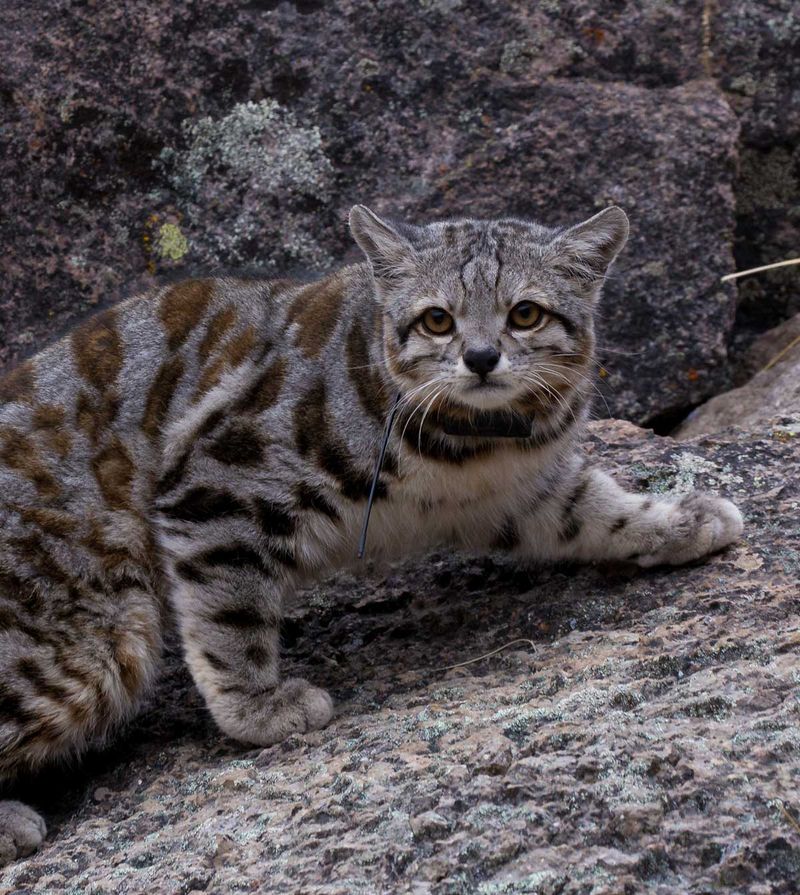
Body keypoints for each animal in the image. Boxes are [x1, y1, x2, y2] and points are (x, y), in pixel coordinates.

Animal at [0, 205, 744, 868]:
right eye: (437, 318)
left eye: (526, 313)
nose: (480, 357)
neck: (476, 442)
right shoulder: (215, 482)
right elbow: (227, 615)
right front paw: (257, 708)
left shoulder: (523, 495)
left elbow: (599, 509)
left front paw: (680, 519)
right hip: (99, 636)